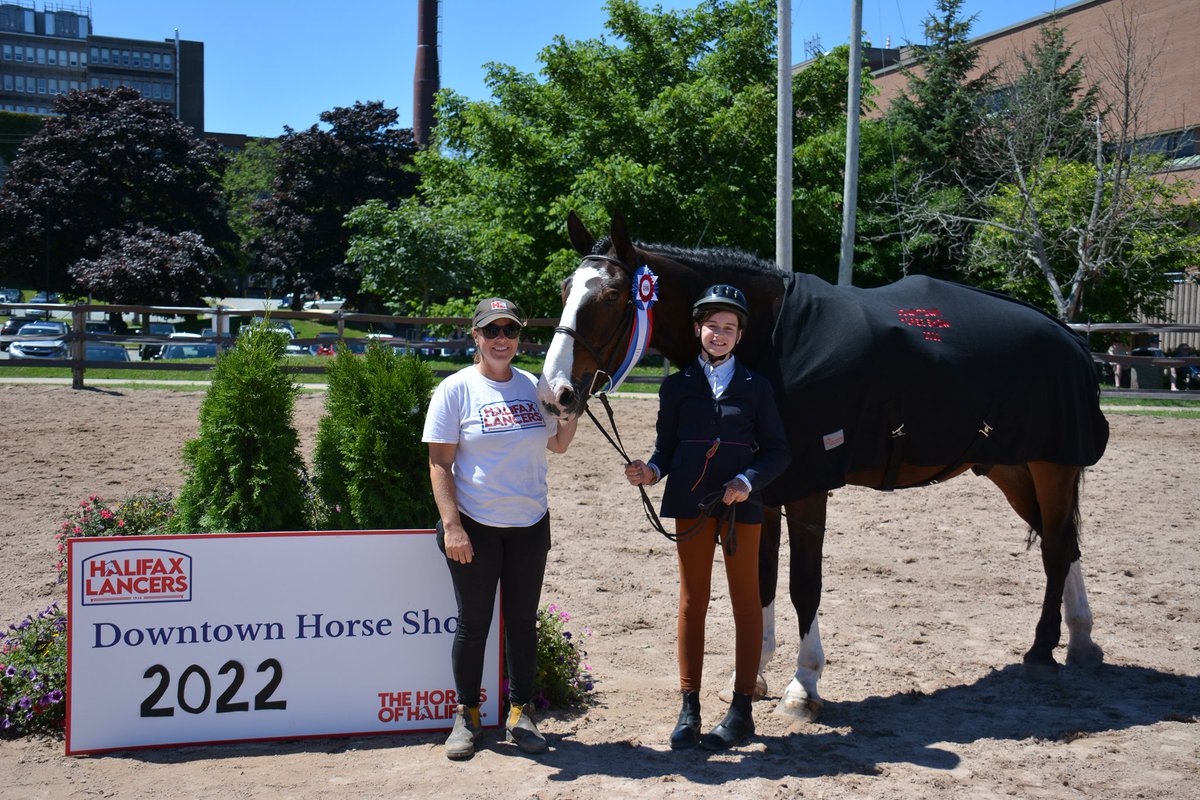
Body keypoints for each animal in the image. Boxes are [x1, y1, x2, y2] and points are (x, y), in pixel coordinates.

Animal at [538, 211, 1110, 722]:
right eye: (565, 289)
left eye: (612, 296)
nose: (555, 394)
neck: (770, 338)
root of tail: (1068, 336)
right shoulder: (759, 490)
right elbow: (761, 579)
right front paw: (752, 676)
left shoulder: (808, 488)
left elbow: (802, 585)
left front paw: (802, 686)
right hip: (1011, 467)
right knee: (1064, 541)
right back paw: (1082, 642)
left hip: (1052, 465)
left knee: (1056, 549)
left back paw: (1042, 651)